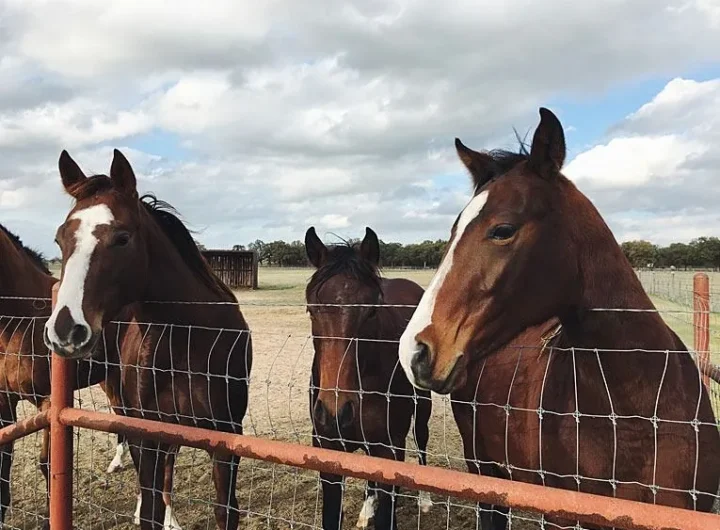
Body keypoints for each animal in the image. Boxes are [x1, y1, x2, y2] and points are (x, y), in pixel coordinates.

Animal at [44, 148, 253, 528]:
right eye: (60, 239)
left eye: (122, 238)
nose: (66, 330)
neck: (190, 340)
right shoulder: (148, 436)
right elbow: (150, 509)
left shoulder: (226, 440)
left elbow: (224, 510)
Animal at [306, 228, 434, 530]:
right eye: (311, 310)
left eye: (372, 311)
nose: (335, 412)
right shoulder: (328, 452)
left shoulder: (389, 450)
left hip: (422, 407)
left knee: (421, 440)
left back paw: (424, 500)